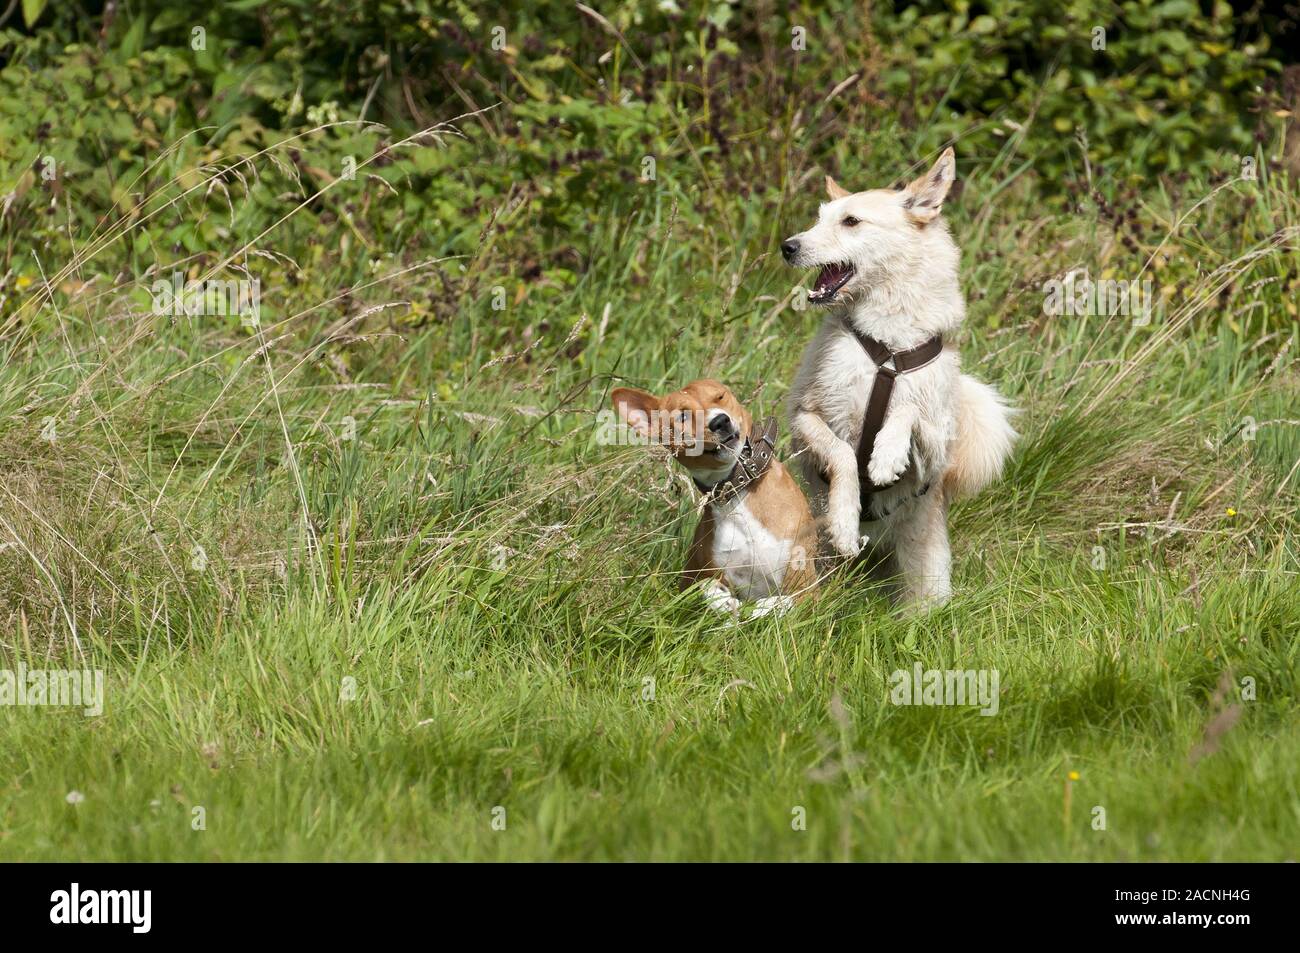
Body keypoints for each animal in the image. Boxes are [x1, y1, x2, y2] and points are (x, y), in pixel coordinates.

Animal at [608, 379, 811, 616]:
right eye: (683, 416)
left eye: (720, 397)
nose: (720, 421)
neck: (737, 491)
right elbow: (704, 587)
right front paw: (720, 599)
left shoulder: (806, 585)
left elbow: (787, 601)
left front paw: (764, 607)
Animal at [780, 151, 1013, 605]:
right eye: (818, 219)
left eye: (851, 221)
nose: (788, 246)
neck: (886, 345)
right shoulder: (804, 419)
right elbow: (842, 455)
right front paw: (845, 521)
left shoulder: (935, 447)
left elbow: (908, 412)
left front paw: (887, 455)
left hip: (927, 578)